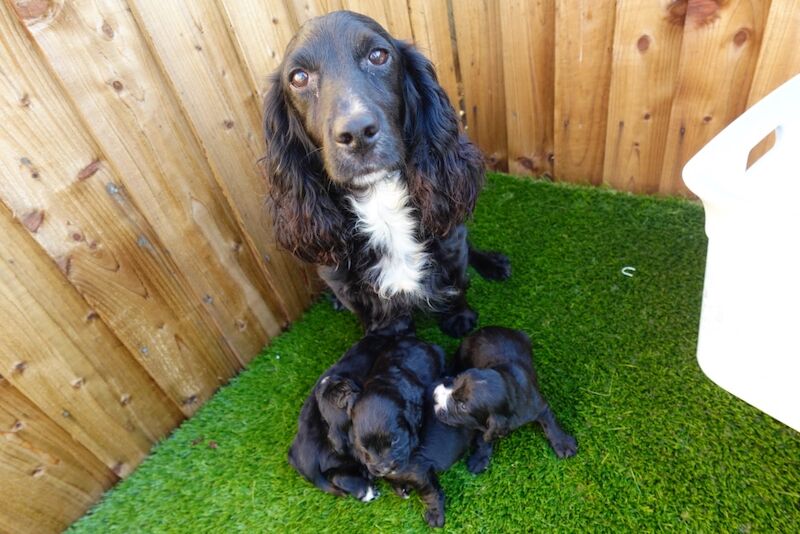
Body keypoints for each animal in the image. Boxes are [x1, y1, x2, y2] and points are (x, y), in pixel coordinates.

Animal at [266, 10, 510, 338]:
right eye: (299, 77)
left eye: (378, 56)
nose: (357, 132)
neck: (380, 201)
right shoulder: (350, 285)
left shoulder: (450, 238)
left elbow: (457, 281)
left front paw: (459, 317)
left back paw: (494, 263)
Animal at [432, 324, 576, 472]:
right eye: (457, 380)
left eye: (462, 406)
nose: (435, 395)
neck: (511, 390)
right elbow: (484, 437)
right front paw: (479, 459)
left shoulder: (538, 406)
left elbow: (551, 423)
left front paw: (564, 444)